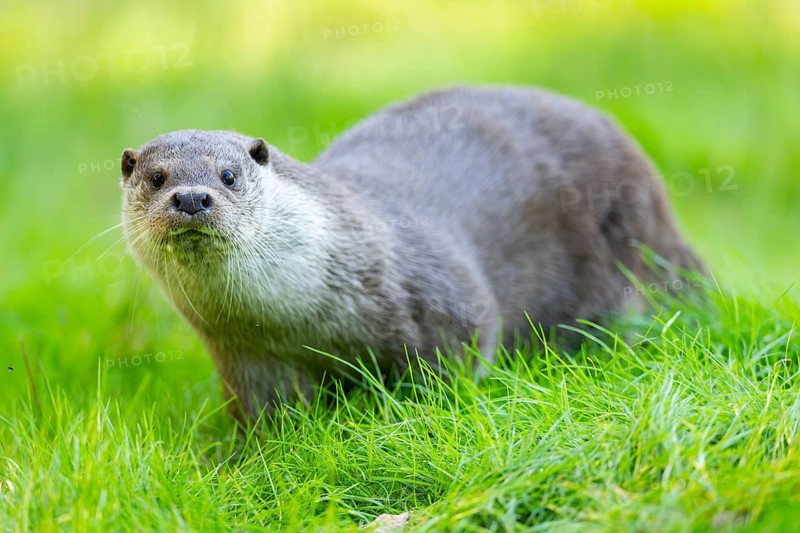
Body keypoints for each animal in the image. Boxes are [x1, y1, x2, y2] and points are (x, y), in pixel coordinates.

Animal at [120, 86, 702, 421]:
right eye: (157, 177)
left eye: (228, 175)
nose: (191, 198)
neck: (298, 318)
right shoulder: (245, 357)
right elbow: (263, 417)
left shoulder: (449, 305)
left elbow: (455, 365)